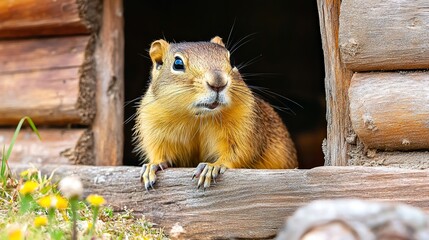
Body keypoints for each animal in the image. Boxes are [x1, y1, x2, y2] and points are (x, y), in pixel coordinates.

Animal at [135, 36, 298, 189]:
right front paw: (153, 165)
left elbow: (239, 152)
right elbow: (160, 153)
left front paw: (212, 166)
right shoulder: (154, 128)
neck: (198, 117)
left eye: (231, 60)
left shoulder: (245, 126)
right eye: (178, 64)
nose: (218, 82)